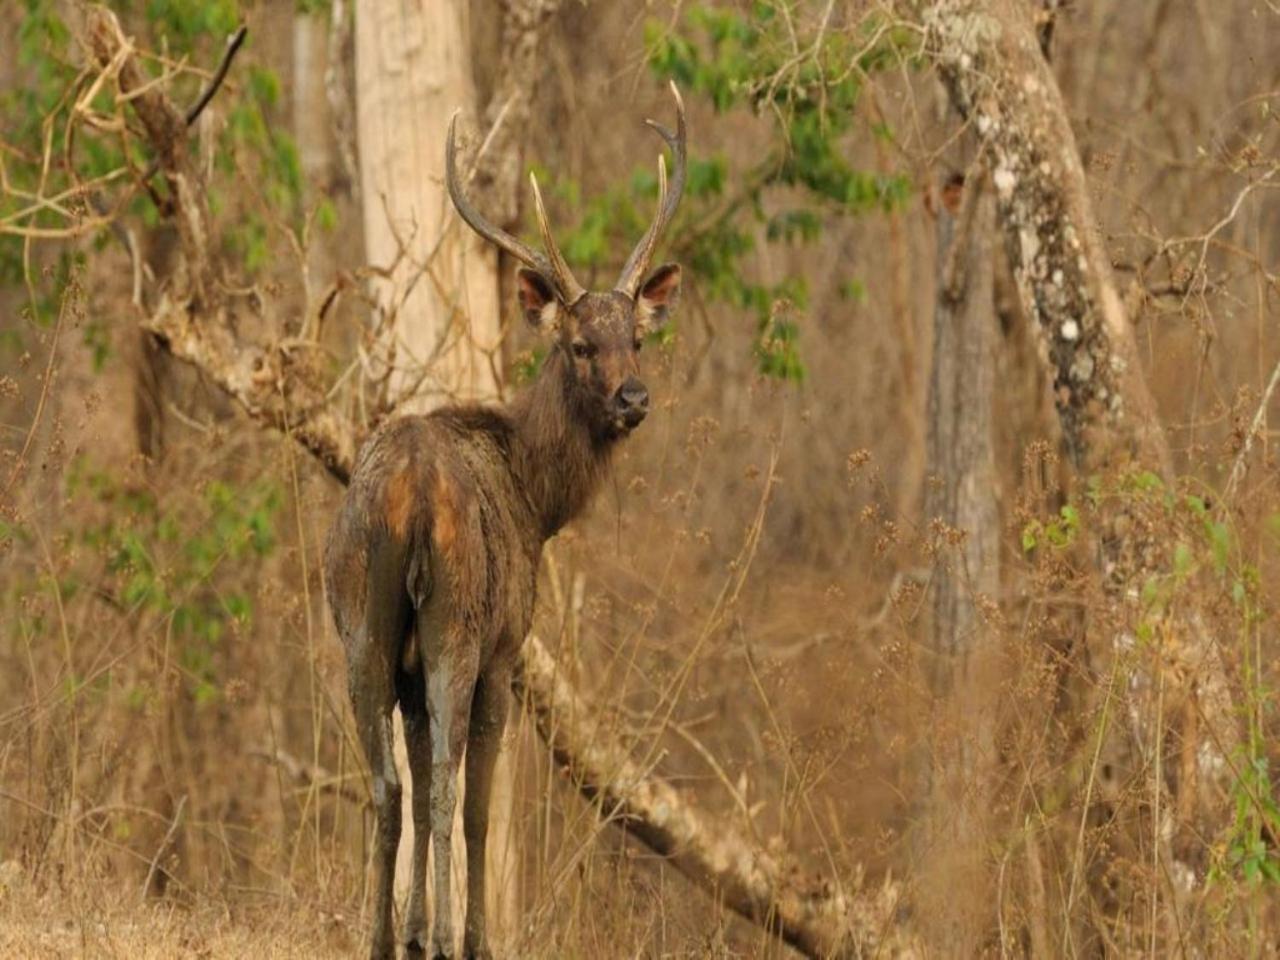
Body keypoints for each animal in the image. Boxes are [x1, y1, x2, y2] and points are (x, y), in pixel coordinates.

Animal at [327, 84, 691, 960]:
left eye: (637, 339)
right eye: (580, 345)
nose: (634, 398)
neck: (537, 498)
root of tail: (414, 496)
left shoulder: (407, 667)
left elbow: (419, 777)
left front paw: (415, 931)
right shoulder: (506, 651)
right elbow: (474, 804)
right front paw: (464, 938)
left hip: (364, 627)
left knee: (387, 786)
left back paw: (379, 939)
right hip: (458, 625)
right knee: (444, 789)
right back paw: (445, 937)